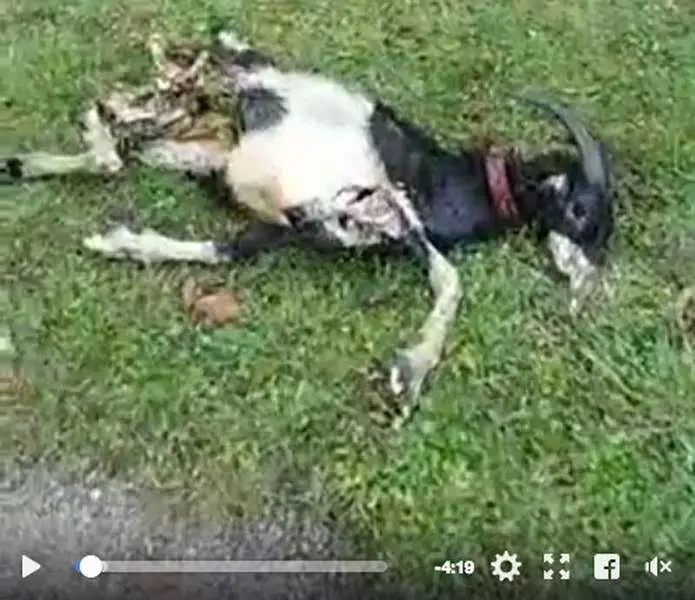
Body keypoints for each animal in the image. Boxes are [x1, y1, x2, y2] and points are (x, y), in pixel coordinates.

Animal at [2, 30, 615, 426]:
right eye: (583, 212)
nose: (589, 288)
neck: (442, 178)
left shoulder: (282, 228)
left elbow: (225, 250)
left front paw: (122, 244)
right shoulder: (388, 195)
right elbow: (448, 277)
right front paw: (409, 375)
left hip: (198, 143)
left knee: (119, 140)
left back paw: (29, 162)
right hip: (211, 100)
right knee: (129, 112)